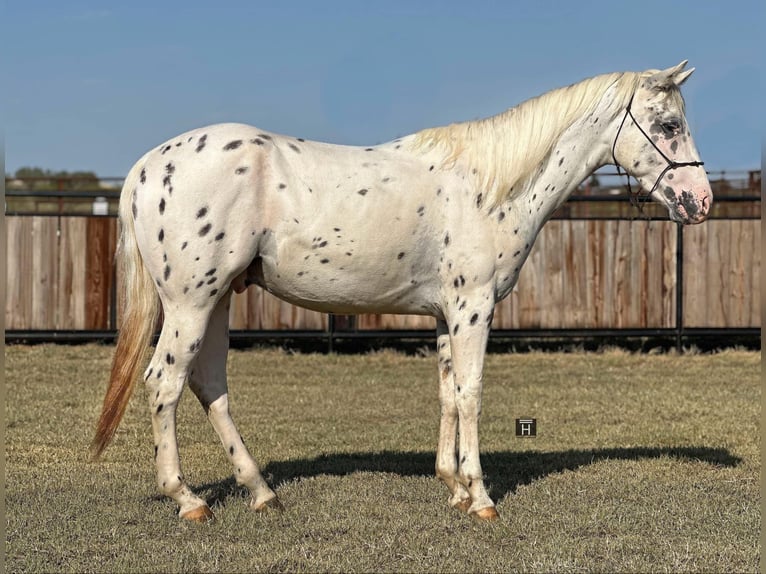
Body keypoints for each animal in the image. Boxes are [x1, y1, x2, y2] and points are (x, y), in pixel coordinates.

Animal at [92, 61, 712, 522]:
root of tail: (147, 167)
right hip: (190, 303)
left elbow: (446, 392)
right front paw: (481, 498)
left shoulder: (446, 314)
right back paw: (189, 500)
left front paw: (453, 487)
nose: (700, 201)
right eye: (668, 125)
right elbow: (471, 393)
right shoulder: (474, 308)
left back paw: (262, 491)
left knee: (209, 384)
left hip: (217, 299)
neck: (490, 186)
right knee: (164, 382)